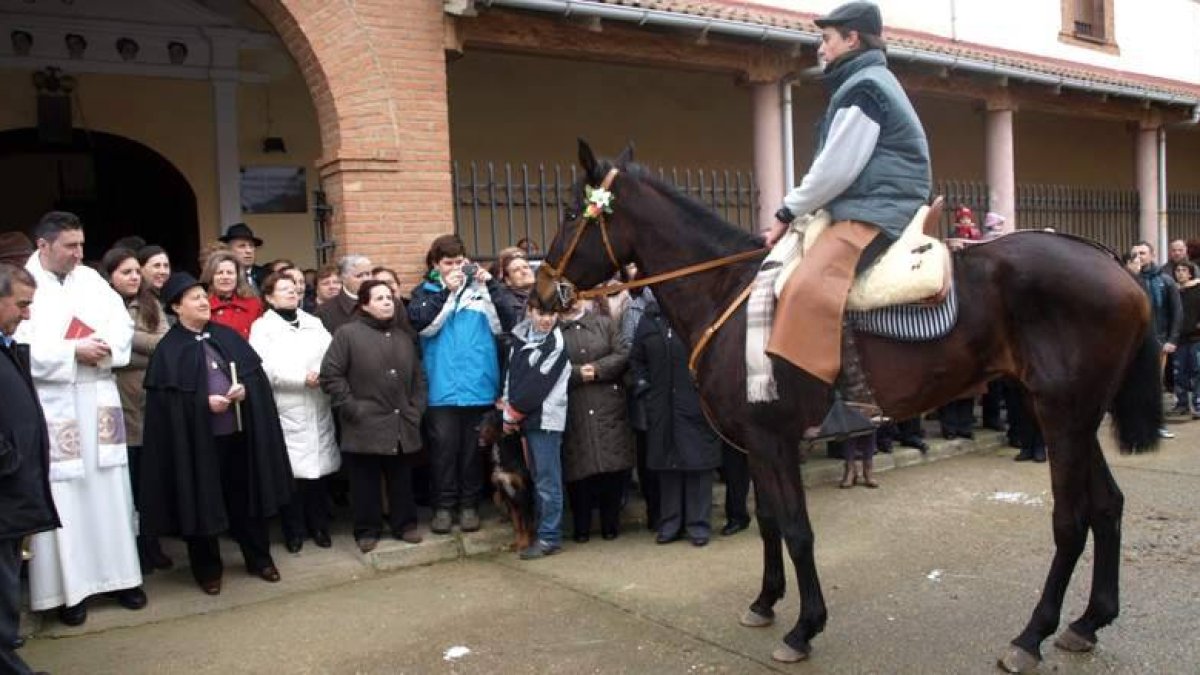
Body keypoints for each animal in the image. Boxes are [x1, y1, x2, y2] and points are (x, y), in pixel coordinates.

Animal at [532, 140, 1161, 667]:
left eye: (569, 214)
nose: (540, 292)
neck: (728, 293)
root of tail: (1116, 266)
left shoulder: (773, 439)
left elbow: (797, 528)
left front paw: (804, 626)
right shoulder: (756, 444)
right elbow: (768, 520)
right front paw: (765, 602)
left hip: (1062, 417)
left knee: (1071, 521)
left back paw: (1032, 635)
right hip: (1073, 418)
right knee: (1107, 506)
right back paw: (1088, 621)